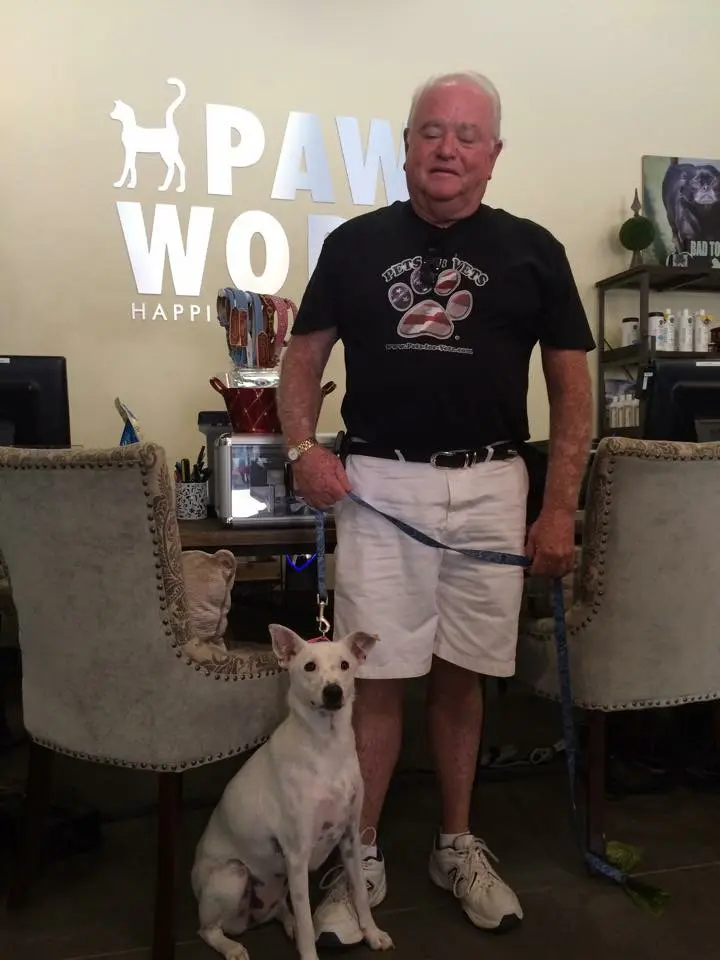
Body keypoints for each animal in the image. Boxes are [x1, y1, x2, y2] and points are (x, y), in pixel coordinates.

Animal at [191, 624, 394, 960]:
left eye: (345, 665)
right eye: (309, 666)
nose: (333, 692)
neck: (326, 747)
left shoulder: (350, 838)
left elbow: (359, 895)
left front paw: (373, 934)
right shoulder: (298, 856)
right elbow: (308, 924)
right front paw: (309, 953)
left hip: (279, 885)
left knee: (284, 912)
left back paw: (288, 927)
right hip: (233, 875)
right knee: (208, 930)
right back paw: (232, 947)